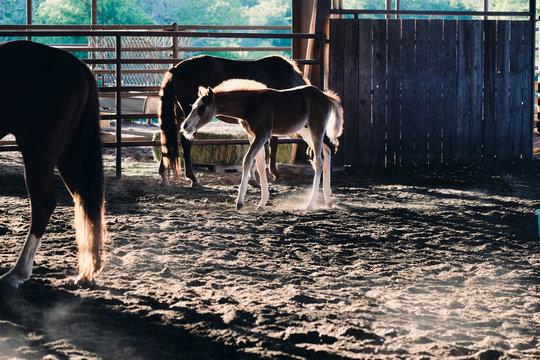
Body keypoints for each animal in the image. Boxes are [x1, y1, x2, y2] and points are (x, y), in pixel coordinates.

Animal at [0, 40, 106, 286]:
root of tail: (79, 67)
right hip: (70, 154)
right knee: (87, 201)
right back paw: (88, 272)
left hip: (38, 152)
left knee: (43, 205)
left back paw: (17, 272)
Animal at [157, 55, 308, 188]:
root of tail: (175, 69)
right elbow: (271, 146)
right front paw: (274, 175)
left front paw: (254, 178)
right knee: (185, 141)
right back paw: (193, 179)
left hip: (179, 117)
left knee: (168, 140)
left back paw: (164, 176)